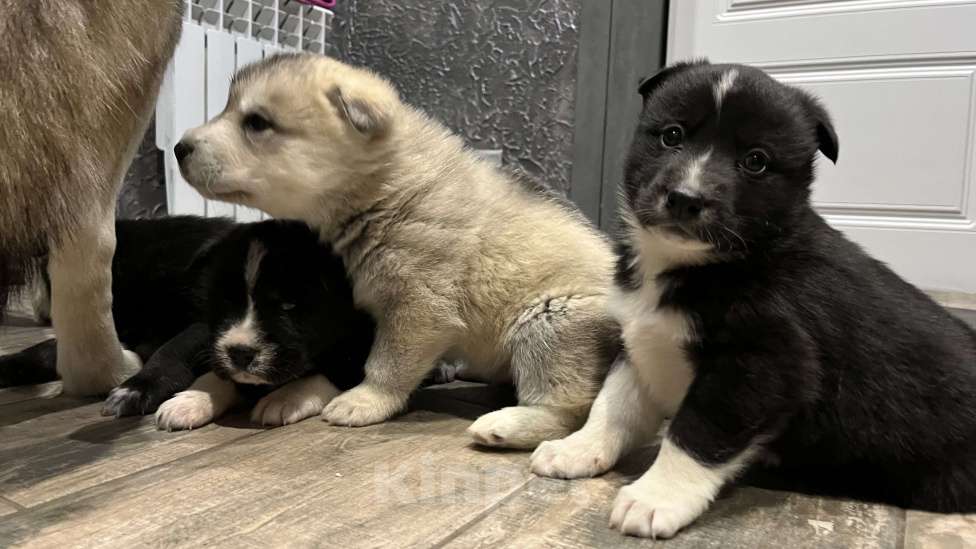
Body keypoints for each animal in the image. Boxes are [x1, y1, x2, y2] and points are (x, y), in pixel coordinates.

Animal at [528, 58, 976, 536]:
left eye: (756, 161)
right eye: (672, 135)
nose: (685, 199)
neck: (707, 266)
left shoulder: (762, 364)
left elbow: (695, 432)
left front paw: (655, 498)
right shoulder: (641, 339)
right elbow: (613, 404)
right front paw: (576, 448)